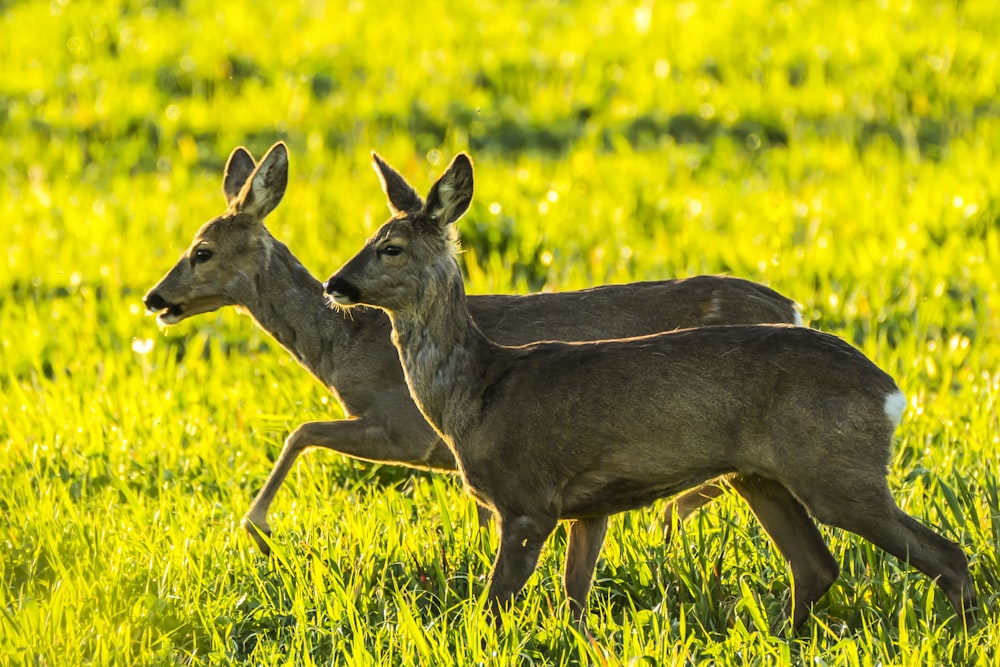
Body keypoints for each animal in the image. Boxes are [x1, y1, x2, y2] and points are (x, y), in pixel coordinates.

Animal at [143, 144, 796, 556]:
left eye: (201, 251)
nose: (155, 297)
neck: (344, 346)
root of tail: (792, 307)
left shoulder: (402, 427)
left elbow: (300, 431)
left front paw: (255, 526)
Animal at [326, 151, 976, 632]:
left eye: (390, 247)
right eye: (367, 236)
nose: (336, 283)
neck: (477, 392)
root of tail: (891, 392)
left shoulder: (526, 499)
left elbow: (493, 607)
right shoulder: (588, 505)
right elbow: (575, 601)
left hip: (836, 469)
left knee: (946, 554)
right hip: (761, 474)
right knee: (816, 565)